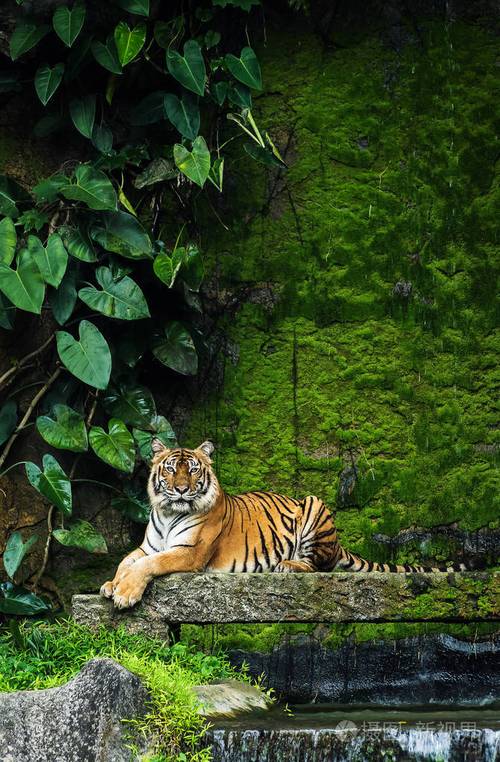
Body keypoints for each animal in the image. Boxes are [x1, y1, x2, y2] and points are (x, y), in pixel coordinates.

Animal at [101, 440, 469, 609]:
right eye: (169, 469)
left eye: (192, 470)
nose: (180, 489)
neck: (167, 512)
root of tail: (340, 543)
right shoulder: (146, 546)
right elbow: (126, 561)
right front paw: (110, 584)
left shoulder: (189, 552)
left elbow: (149, 565)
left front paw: (124, 595)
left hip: (314, 505)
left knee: (320, 565)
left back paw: (288, 565)